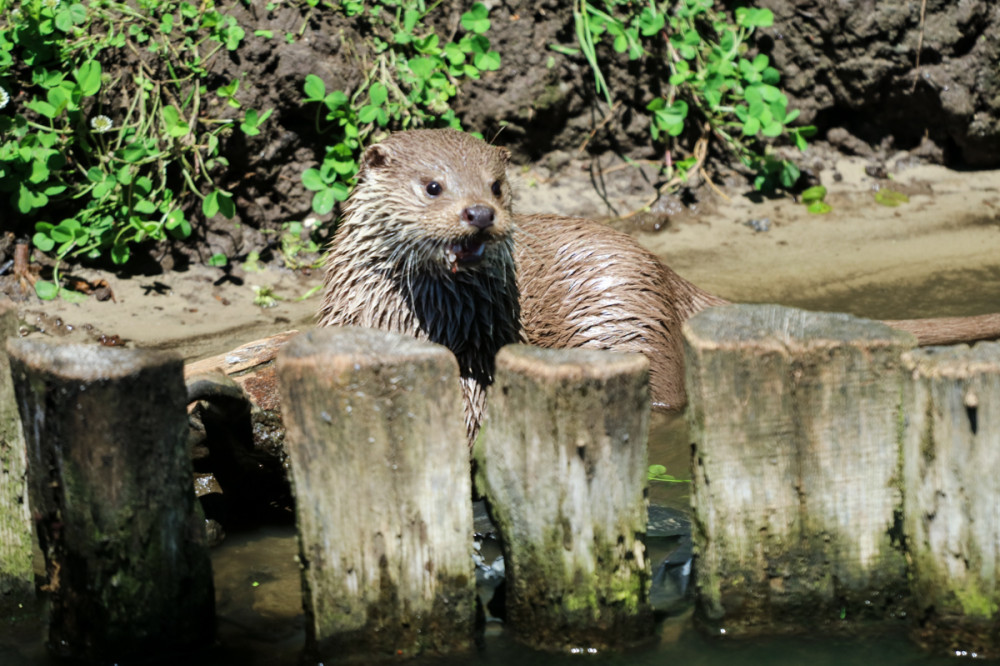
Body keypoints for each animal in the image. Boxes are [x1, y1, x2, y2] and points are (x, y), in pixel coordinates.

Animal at [322, 130, 1000, 440]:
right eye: (433, 186)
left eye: (495, 186)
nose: (480, 214)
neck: (402, 321)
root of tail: (665, 271)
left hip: (632, 314)